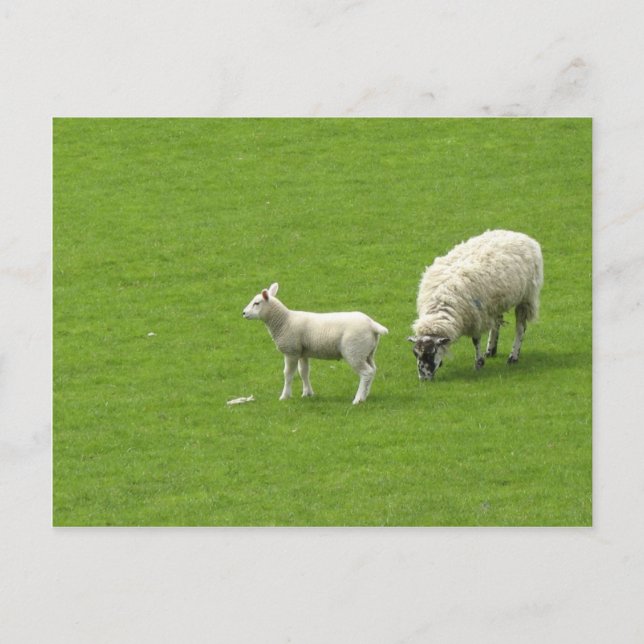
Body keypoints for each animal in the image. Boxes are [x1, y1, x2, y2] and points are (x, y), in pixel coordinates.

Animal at [242, 283, 388, 404]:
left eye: (256, 303)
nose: (243, 313)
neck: (284, 321)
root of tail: (372, 325)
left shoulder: (291, 351)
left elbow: (288, 374)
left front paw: (285, 396)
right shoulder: (302, 352)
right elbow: (304, 372)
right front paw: (307, 393)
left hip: (354, 351)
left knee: (366, 372)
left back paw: (358, 399)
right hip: (367, 352)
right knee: (373, 370)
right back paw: (365, 395)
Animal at [408, 229, 543, 380]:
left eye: (431, 353)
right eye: (415, 353)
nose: (423, 379)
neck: (442, 302)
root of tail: (519, 234)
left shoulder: (476, 316)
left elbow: (476, 340)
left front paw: (478, 364)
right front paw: (483, 358)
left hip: (526, 297)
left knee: (520, 328)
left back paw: (513, 357)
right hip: (495, 302)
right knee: (496, 324)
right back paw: (491, 350)